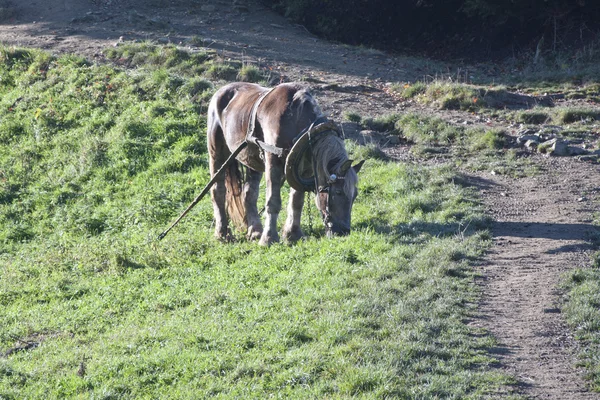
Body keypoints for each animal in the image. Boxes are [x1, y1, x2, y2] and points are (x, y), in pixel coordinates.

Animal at [206, 81, 366, 245]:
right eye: (338, 192)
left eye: (355, 195)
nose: (344, 231)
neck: (295, 120)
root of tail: (221, 91)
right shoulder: (273, 162)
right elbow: (273, 201)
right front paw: (269, 238)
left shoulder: (303, 169)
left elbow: (297, 201)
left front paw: (293, 234)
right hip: (216, 152)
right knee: (218, 191)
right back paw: (222, 233)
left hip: (253, 160)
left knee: (249, 194)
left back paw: (255, 231)